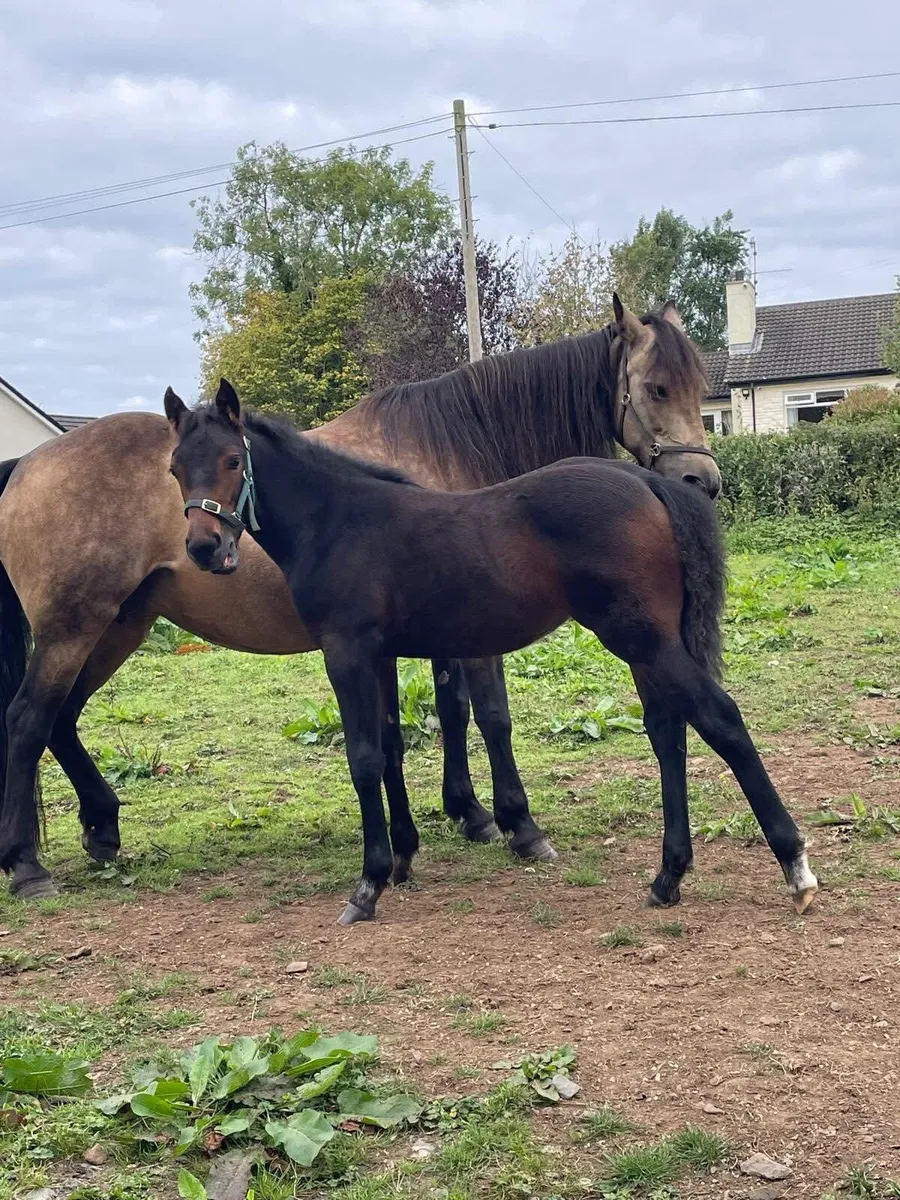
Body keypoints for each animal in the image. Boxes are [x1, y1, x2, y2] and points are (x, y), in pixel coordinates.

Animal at [0, 295, 720, 899]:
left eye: (700, 387)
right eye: (656, 387)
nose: (701, 482)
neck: (451, 443)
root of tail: (26, 465)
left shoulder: (420, 636)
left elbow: (439, 719)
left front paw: (465, 814)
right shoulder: (463, 635)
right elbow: (488, 716)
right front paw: (516, 823)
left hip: (121, 624)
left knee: (60, 719)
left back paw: (101, 828)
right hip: (75, 626)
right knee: (29, 719)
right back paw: (28, 865)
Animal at [167, 379, 817, 926]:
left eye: (232, 461)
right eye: (176, 468)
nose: (204, 547)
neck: (338, 520)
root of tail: (648, 482)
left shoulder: (345, 651)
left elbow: (363, 759)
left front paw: (368, 885)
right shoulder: (380, 654)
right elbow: (391, 749)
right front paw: (402, 860)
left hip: (642, 639)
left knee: (719, 718)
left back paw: (795, 868)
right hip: (648, 644)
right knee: (669, 732)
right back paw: (668, 877)